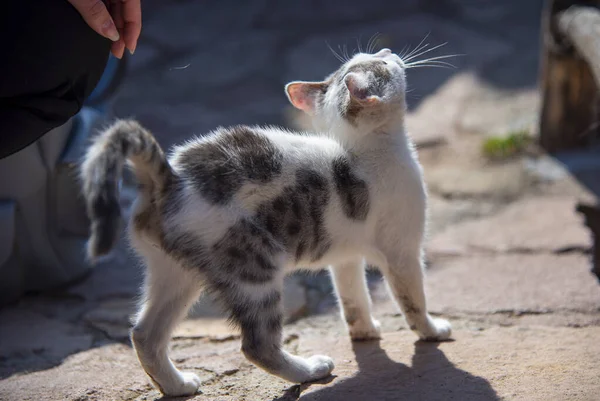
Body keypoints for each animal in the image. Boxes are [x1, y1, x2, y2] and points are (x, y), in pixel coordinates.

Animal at [82, 48, 452, 396]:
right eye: (382, 64)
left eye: (377, 56)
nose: (389, 52)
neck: (360, 149)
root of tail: (171, 181)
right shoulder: (402, 253)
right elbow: (413, 301)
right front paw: (432, 331)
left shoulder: (345, 258)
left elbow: (352, 299)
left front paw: (365, 331)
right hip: (255, 271)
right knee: (256, 346)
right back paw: (309, 370)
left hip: (175, 274)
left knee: (144, 334)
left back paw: (177, 385)